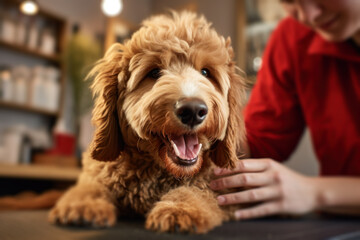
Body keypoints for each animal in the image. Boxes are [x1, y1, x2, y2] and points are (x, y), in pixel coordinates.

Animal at [49, 10, 246, 233]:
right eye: (154, 73)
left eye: (206, 72)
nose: (193, 111)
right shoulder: (100, 173)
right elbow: (90, 186)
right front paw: (83, 204)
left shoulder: (219, 188)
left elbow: (196, 191)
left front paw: (180, 208)